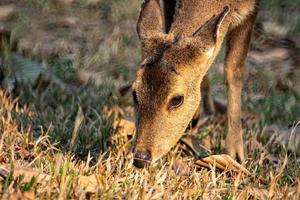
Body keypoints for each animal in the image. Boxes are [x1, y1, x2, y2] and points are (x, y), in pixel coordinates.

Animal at [132, 0, 258, 169]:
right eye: (134, 93)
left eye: (177, 99)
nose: (140, 158)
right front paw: (195, 117)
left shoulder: (252, 9)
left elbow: (234, 70)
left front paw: (236, 154)